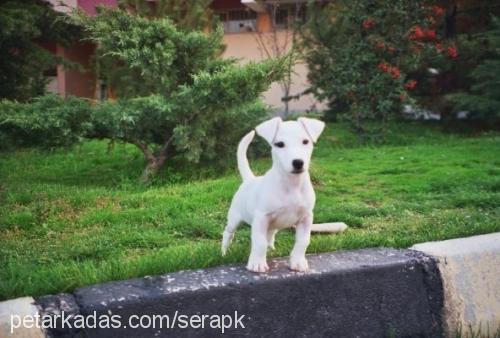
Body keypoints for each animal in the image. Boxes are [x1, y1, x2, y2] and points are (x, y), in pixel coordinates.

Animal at [221, 117, 346, 274]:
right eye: (279, 144)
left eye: (305, 141)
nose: (298, 162)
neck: (291, 185)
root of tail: (250, 179)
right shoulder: (261, 218)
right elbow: (259, 242)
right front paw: (257, 264)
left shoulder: (306, 218)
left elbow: (303, 242)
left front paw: (298, 262)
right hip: (235, 218)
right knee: (228, 233)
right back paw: (224, 252)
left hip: (272, 225)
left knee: (270, 235)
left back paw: (271, 249)